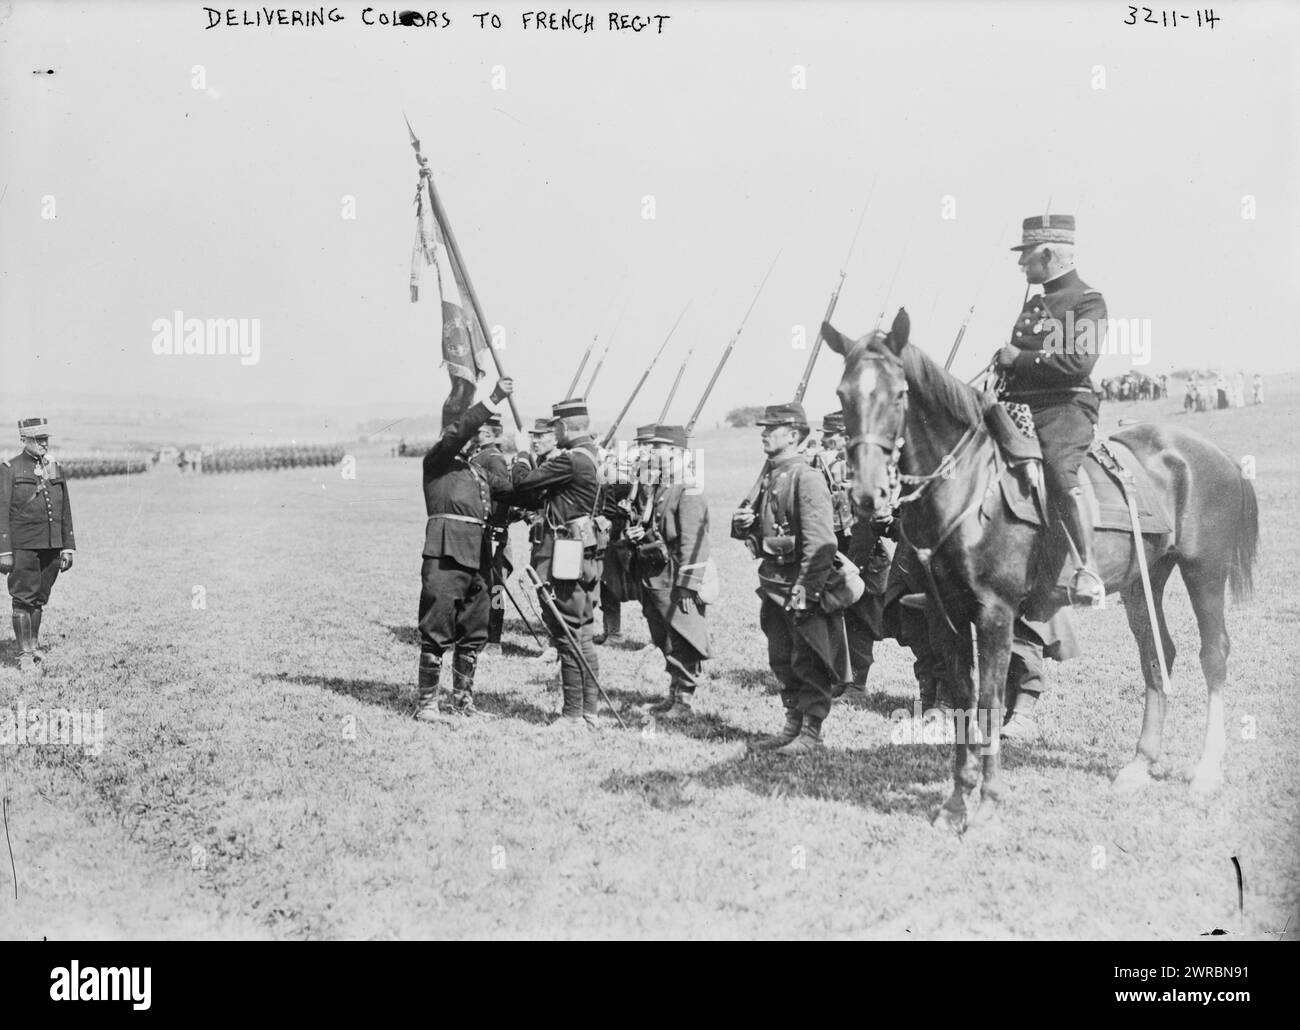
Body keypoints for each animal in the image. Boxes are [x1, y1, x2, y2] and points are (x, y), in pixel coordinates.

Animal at [821, 309, 1258, 832]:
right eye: (843, 394)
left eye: (899, 393)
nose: (867, 495)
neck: (969, 487)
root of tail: (1217, 455)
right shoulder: (946, 616)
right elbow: (963, 698)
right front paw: (955, 804)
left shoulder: (996, 614)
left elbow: (990, 701)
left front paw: (988, 804)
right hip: (1145, 580)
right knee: (1157, 656)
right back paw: (1139, 765)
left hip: (1204, 571)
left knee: (1214, 655)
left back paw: (1207, 771)